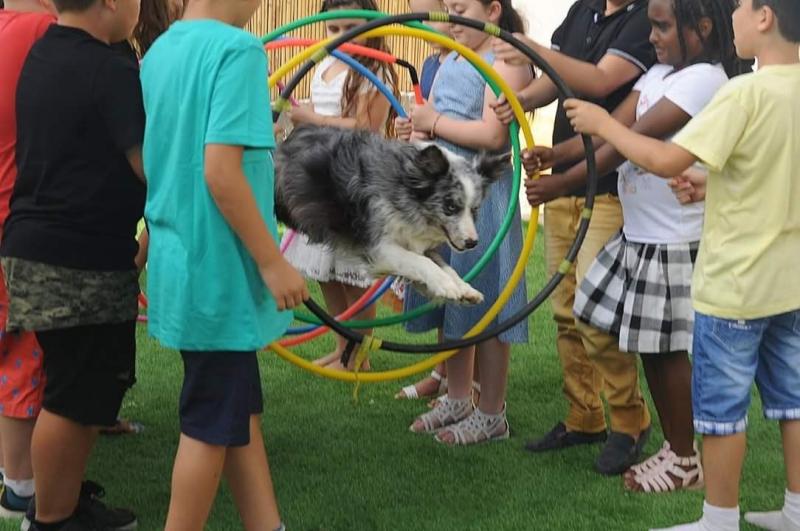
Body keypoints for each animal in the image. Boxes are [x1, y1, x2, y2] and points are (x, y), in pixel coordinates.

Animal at [276, 124, 510, 306]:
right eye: (450, 206)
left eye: (475, 209)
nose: (472, 242)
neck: (405, 187)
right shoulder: (378, 247)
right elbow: (420, 262)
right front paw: (446, 285)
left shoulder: (418, 244)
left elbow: (443, 265)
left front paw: (464, 288)